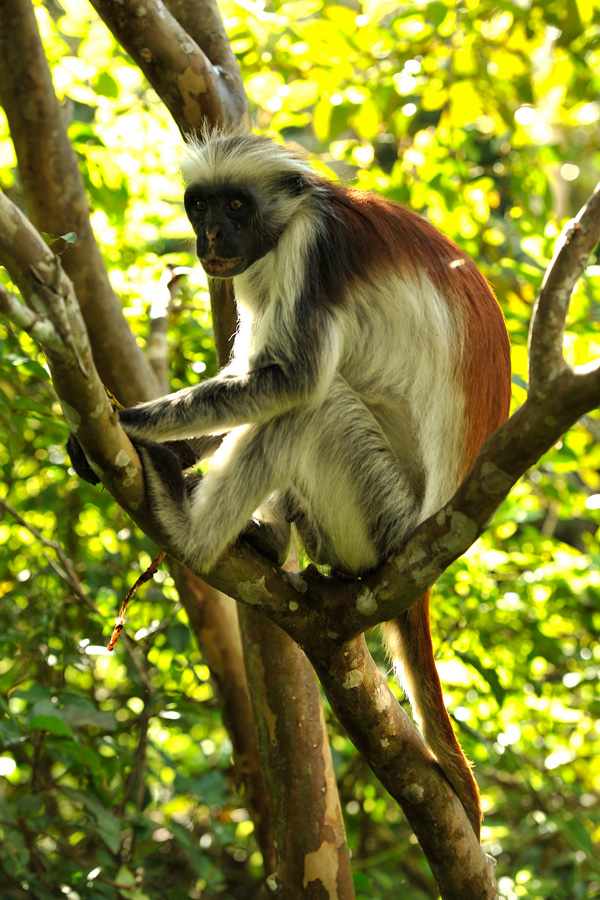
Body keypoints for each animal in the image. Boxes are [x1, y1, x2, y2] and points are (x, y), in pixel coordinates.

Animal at [119, 132, 512, 836]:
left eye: (238, 205)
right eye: (201, 205)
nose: (212, 235)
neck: (292, 217)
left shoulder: (313, 249)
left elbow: (292, 380)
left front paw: (124, 420)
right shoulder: (254, 268)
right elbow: (253, 375)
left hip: (380, 514)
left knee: (313, 405)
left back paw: (192, 534)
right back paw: (269, 543)